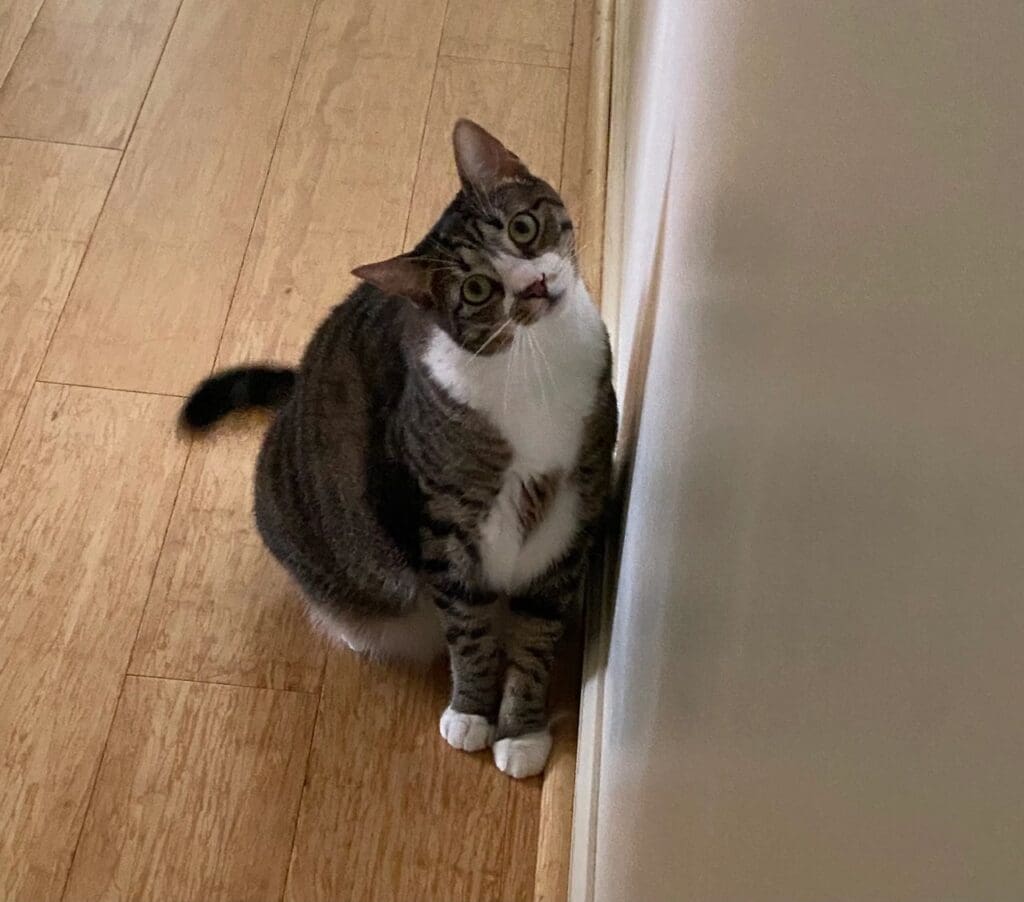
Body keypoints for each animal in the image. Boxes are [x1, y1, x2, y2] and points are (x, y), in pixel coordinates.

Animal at [182, 119, 614, 778]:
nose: (535, 285)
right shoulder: (443, 522)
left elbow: (537, 633)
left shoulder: (575, 506)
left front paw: (521, 732)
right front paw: (472, 712)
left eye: (522, 228)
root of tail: (295, 392)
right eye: (478, 289)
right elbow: (468, 629)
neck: (536, 363)